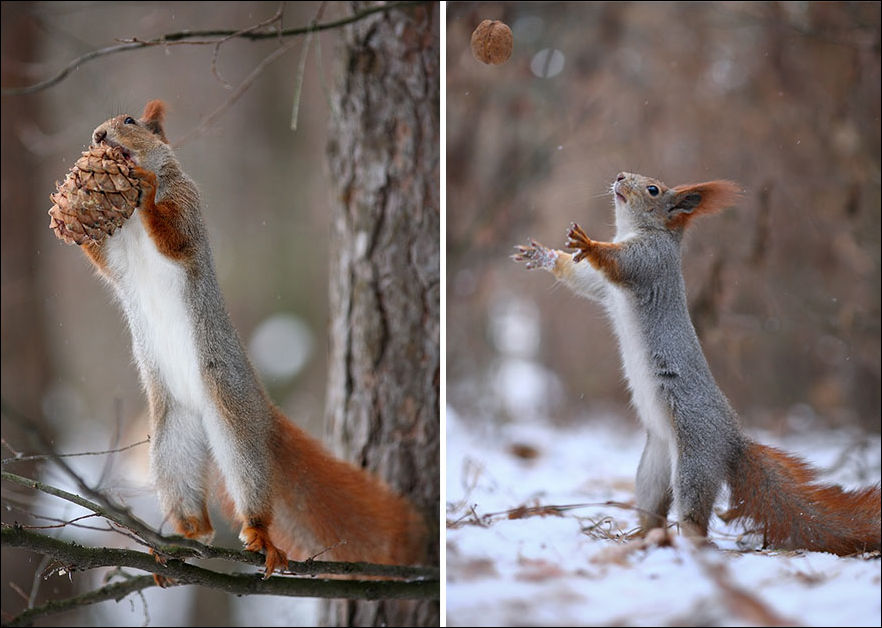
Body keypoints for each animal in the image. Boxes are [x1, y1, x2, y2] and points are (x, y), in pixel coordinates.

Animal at [71, 100, 428, 578]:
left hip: (231, 418)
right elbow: (101, 261)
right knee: (188, 497)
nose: (97, 136)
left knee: (251, 482)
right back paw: (182, 537)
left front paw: (144, 186)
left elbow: (175, 237)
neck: (129, 227)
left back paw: (257, 534)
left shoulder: (188, 206)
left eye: (129, 122)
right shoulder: (117, 260)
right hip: (171, 440)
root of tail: (262, 409)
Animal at [513, 171, 881, 555]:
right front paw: (542, 255)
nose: (620, 176)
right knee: (653, 508)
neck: (636, 231)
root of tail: (732, 439)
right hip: (654, 467)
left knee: (695, 517)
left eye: (653, 189)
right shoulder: (603, 287)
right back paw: (639, 538)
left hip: (695, 459)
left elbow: (619, 263)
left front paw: (588, 243)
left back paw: (687, 544)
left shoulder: (649, 262)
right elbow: (583, 281)